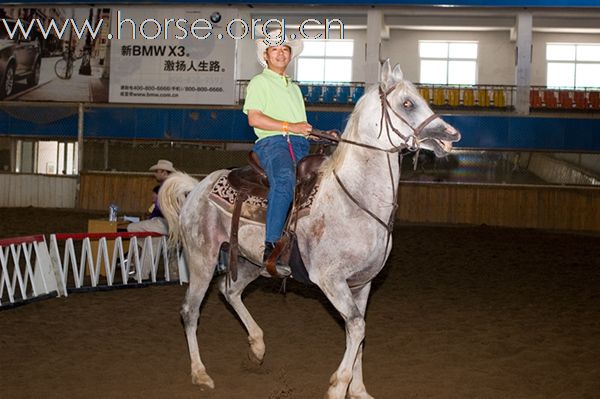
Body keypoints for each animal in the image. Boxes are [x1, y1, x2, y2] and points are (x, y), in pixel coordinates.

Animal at [158, 60, 460, 399]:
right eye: (407, 103)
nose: (452, 135)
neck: (353, 200)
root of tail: (198, 187)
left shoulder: (362, 284)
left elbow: (358, 333)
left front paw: (358, 390)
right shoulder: (331, 281)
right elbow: (357, 327)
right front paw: (337, 386)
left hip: (251, 262)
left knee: (230, 291)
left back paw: (257, 348)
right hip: (203, 258)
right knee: (190, 311)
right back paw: (201, 374)